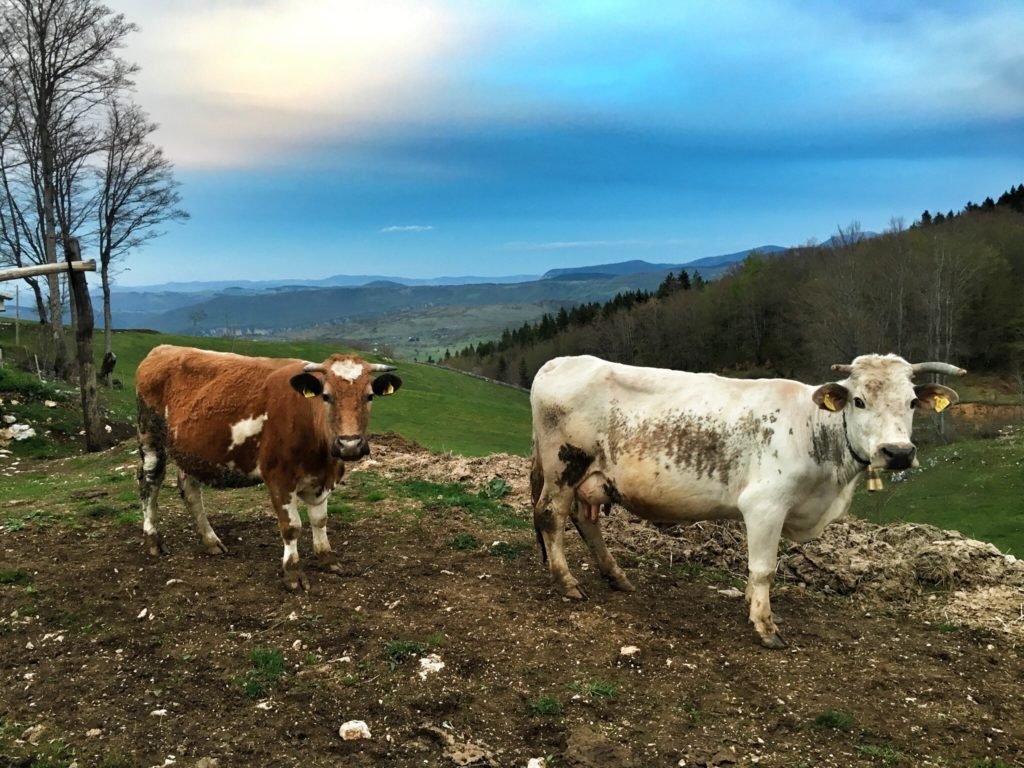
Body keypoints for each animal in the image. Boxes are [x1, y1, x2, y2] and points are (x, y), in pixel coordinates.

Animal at [135, 345, 401, 591]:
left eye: (369, 396)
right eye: (326, 396)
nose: (349, 445)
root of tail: (163, 349)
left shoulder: (323, 478)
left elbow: (320, 520)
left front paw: (327, 559)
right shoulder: (279, 477)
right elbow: (292, 527)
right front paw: (293, 573)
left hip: (191, 451)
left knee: (190, 491)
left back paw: (210, 540)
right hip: (150, 435)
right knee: (150, 483)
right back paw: (153, 540)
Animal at [529, 353, 963, 648]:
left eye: (911, 402)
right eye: (859, 401)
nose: (898, 453)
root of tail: (559, 362)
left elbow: (757, 573)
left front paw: (753, 607)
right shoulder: (765, 505)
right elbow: (764, 569)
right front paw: (766, 626)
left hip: (591, 479)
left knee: (586, 521)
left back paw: (617, 577)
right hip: (563, 466)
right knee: (551, 515)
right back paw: (567, 582)